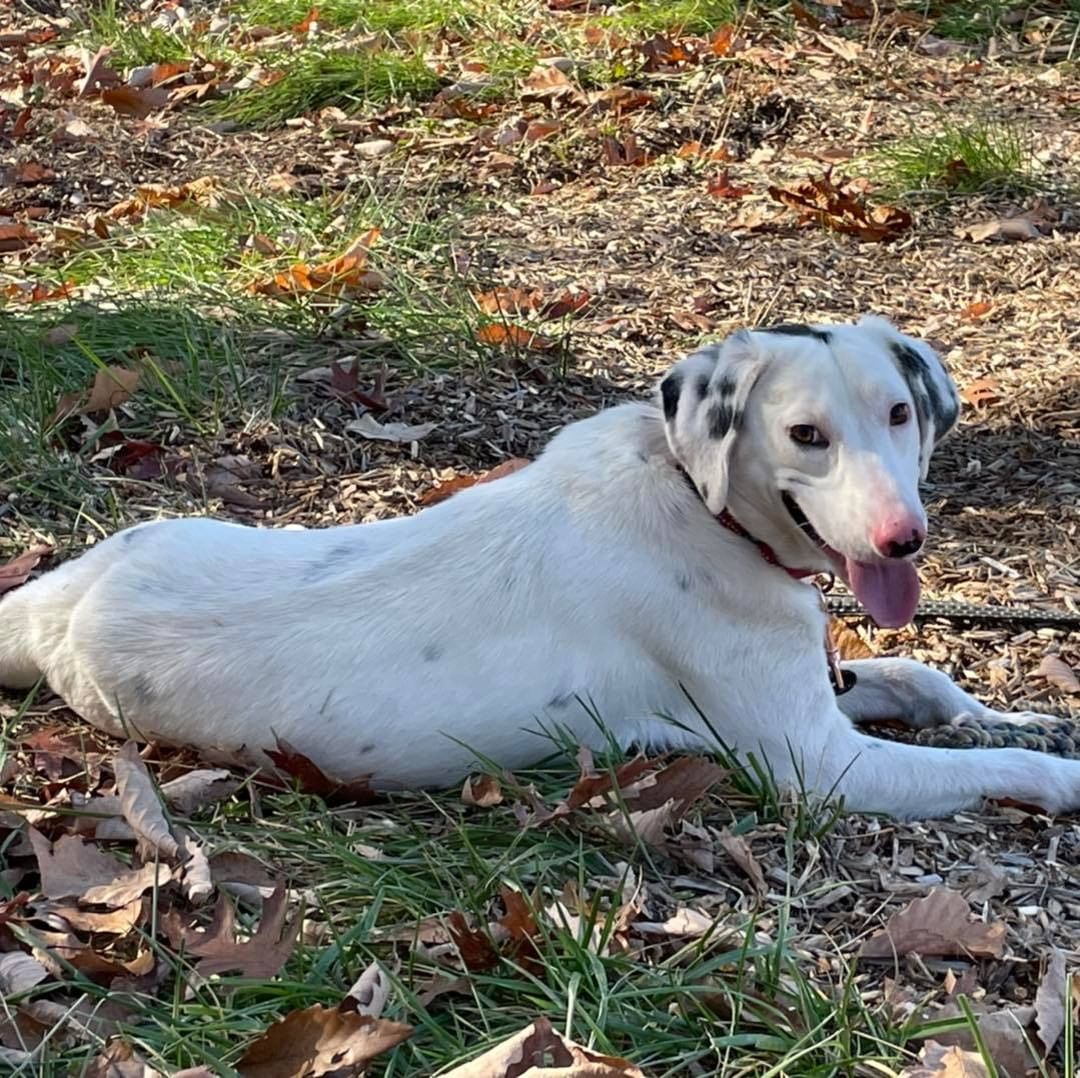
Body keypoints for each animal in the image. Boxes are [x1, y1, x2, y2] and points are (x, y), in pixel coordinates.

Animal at [4, 315, 1075, 820]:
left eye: (898, 414)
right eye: (806, 435)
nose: (905, 541)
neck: (700, 501)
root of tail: (65, 603)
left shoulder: (829, 687)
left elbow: (925, 677)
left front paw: (1017, 714)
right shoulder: (819, 762)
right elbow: (996, 766)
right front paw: (1055, 772)